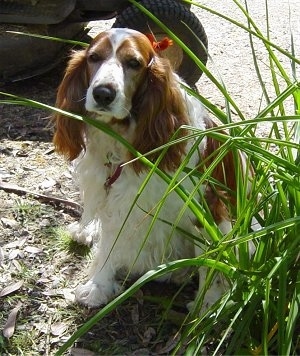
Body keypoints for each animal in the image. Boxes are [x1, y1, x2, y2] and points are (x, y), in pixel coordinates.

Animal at [52, 29, 253, 310]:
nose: (103, 93)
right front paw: (98, 287)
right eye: (94, 57)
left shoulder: (206, 207)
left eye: (134, 63)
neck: (124, 140)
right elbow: (108, 245)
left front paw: (208, 304)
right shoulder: (117, 201)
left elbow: (209, 263)